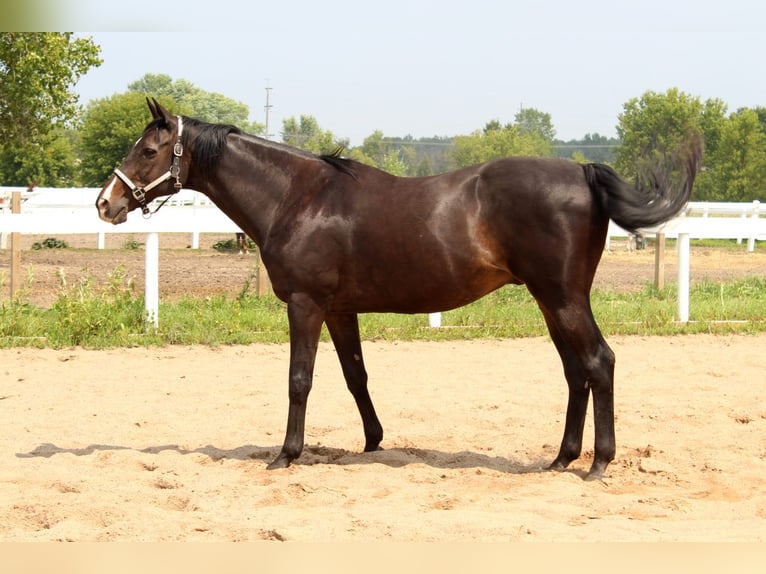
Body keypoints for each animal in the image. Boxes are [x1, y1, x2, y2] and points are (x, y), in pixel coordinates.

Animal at [96, 98, 701, 479]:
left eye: (148, 151)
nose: (106, 203)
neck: (298, 196)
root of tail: (582, 172)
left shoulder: (306, 305)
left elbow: (299, 380)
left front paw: (286, 454)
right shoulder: (339, 311)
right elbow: (355, 376)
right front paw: (372, 441)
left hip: (563, 298)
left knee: (600, 362)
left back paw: (598, 463)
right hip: (549, 301)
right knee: (577, 371)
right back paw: (562, 458)